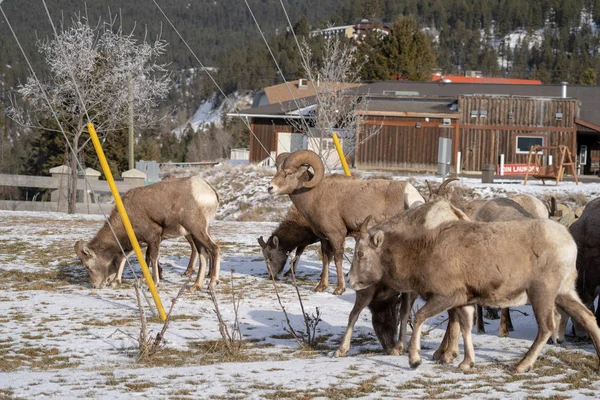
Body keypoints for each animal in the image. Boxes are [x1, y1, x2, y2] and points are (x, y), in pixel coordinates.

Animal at [75, 175, 220, 290]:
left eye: (87, 266)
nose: (95, 285)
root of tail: (210, 191)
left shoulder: (153, 237)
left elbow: (152, 257)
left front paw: (154, 283)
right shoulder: (141, 242)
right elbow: (130, 257)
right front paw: (117, 282)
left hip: (197, 230)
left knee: (214, 248)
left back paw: (212, 283)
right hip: (196, 233)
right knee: (203, 253)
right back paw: (195, 286)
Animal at [270, 150, 424, 294]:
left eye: (289, 173)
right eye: (277, 169)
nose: (270, 188)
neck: (315, 195)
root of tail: (411, 194)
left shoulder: (337, 235)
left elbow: (337, 259)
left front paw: (339, 289)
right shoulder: (324, 238)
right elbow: (326, 259)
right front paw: (321, 287)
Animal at [346, 206, 600, 372]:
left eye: (361, 253)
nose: (350, 280)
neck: (424, 252)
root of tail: (569, 243)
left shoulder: (446, 295)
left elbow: (418, 318)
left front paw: (415, 360)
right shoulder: (464, 301)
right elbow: (466, 327)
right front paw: (466, 363)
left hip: (542, 292)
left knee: (547, 327)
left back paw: (521, 365)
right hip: (564, 292)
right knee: (587, 317)